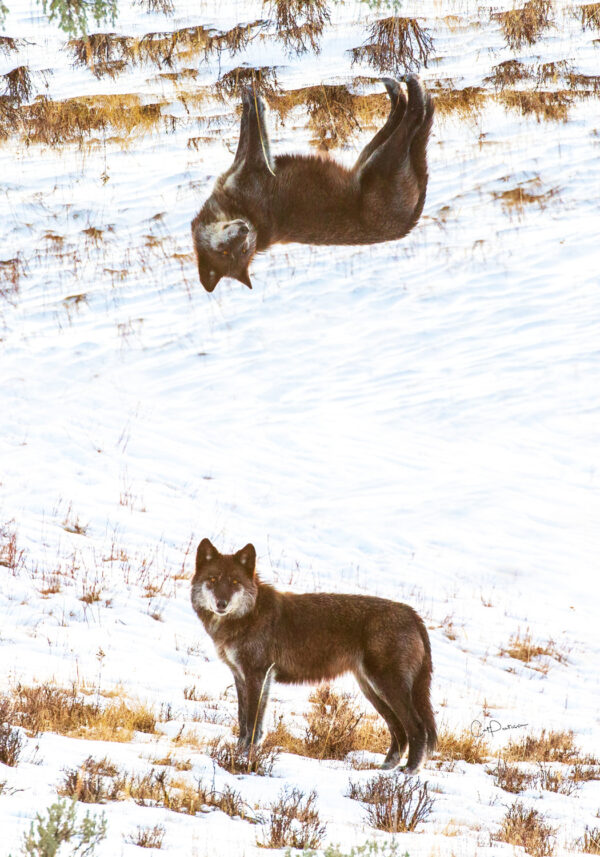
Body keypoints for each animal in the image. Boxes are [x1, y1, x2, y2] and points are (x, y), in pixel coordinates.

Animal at [190, 77, 434, 290]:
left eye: (243, 250)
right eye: (225, 252)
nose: (243, 229)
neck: (242, 211)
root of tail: (408, 226)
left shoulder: (250, 164)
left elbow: (249, 127)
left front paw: (250, 96)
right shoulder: (256, 165)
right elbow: (254, 128)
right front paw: (254, 100)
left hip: (371, 156)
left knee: (404, 115)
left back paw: (398, 90)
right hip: (377, 160)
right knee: (414, 116)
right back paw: (411, 90)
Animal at [192, 540, 436, 772]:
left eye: (235, 582)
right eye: (213, 579)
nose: (221, 604)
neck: (250, 614)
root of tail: (413, 615)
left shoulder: (257, 676)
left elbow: (252, 723)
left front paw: (244, 758)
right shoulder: (242, 677)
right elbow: (244, 723)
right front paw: (238, 754)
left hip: (386, 687)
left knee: (416, 727)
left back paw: (409, 771)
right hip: (372, 690)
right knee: (399, 730)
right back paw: (385, 769)